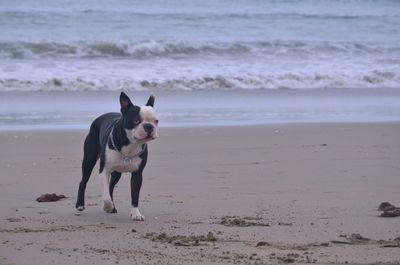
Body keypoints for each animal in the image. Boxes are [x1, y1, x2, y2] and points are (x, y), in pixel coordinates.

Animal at [75, 92, 158, 220]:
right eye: (136, 121)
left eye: (156, 121)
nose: (149, 126)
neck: (131, 146)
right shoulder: (104, 171)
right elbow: (106, 197)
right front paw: (108, 207)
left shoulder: (137, 175)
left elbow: (135, 196)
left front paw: (136, 214)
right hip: (89, 160)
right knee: (83, 181)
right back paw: (80, 205)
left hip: (117, 173)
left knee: (111, 186)